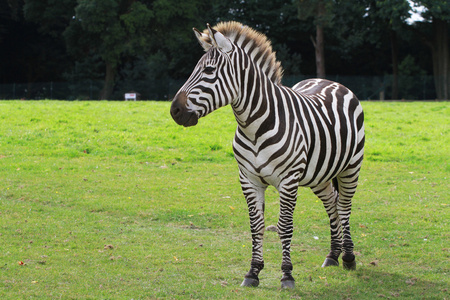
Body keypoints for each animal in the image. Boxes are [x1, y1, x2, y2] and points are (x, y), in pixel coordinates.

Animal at [171, 21, 364, 288]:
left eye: (209, 71)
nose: (174, 111)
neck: (253, 126)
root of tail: (330, 81)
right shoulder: (248, 179)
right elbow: (256, 225)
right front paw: (253, 272)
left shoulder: (288, 180)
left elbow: (284, 226)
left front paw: (287, 275)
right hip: (320, 173)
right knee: (331, 202)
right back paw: (333, 255)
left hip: (351, 166)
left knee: (344, 206)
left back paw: (348, 257)